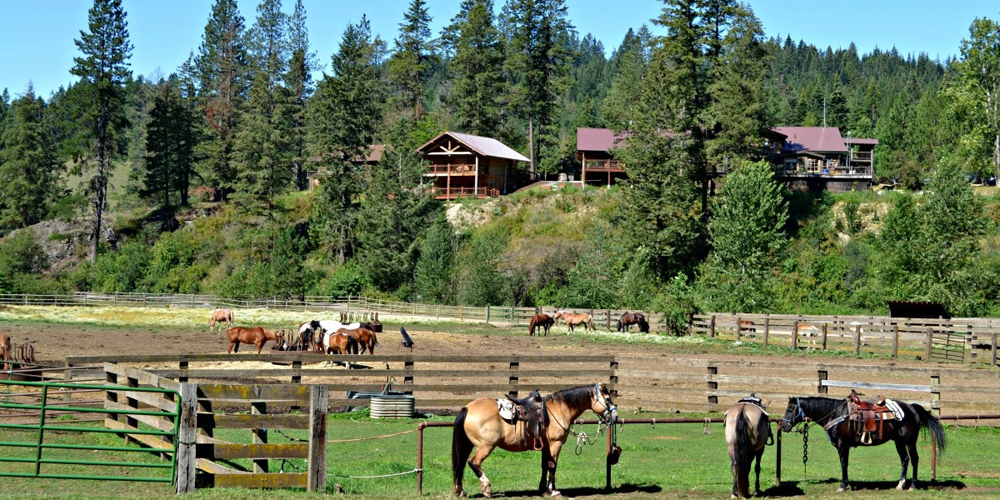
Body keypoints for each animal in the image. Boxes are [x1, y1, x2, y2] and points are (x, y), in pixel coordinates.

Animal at [454, 382, 616, 496]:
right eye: (607, 399)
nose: (615, 416)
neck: (559, 409)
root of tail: (468, 408)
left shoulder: (546, 446)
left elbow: (545, 466)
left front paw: (543, 489)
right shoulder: (556, 444)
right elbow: (553, 466)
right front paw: (553, 491)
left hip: (468, 445)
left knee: (461, 464)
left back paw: (460, 491)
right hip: (485, 446)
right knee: (474, 463)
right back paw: (487, 489)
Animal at [780, 392, 944, 490]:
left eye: (790, 409)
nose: (783, 426)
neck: (835, 413)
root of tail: (912, 408)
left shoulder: (842, 444)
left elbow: (844, 464)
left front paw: (843, 486)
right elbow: (844, 464)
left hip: (909, 441)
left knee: (914, 459)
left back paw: (913, 485)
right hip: (898, 441)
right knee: (905, 459)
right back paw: (900, 484)